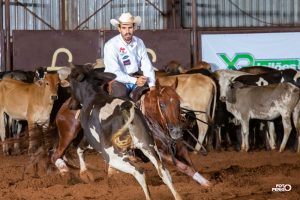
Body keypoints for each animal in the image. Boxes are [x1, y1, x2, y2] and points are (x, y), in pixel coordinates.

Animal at [58, 64, 180, 200]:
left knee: (139, 172)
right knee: (163, 171)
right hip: (148, 146)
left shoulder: (91, 140)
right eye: (162, 105)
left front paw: (85, 174)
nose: (71, 105)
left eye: (70, 81)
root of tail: (125, 108)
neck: (92, 96)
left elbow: (79, 149)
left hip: (112, 155)